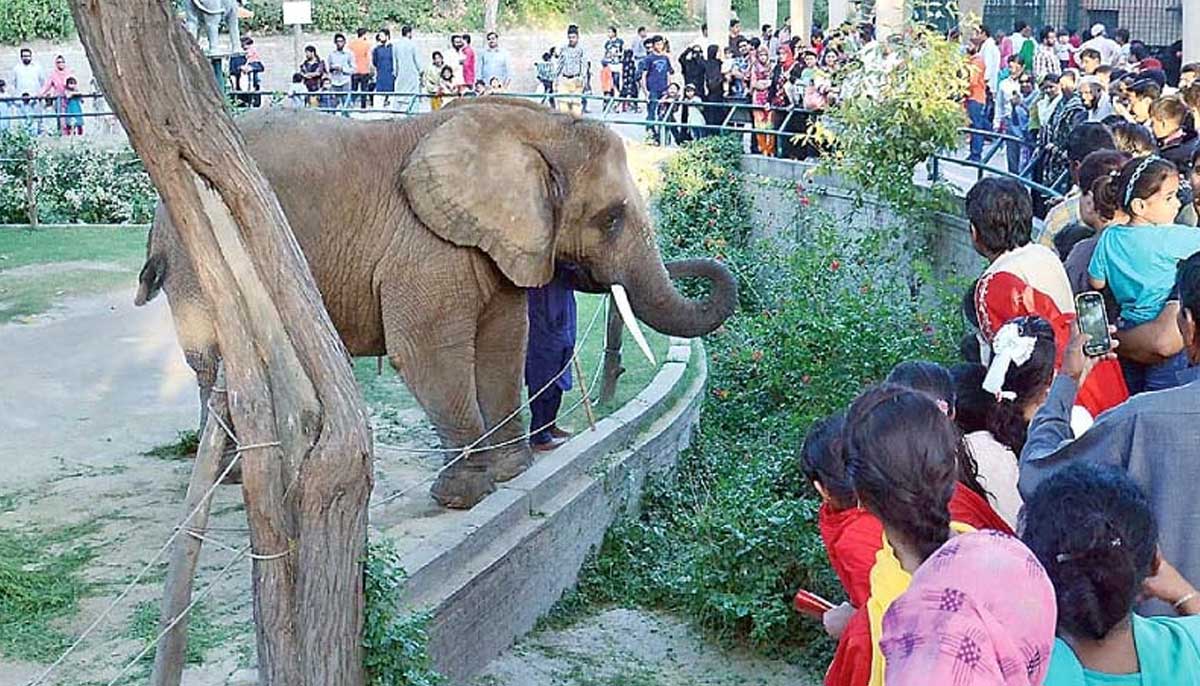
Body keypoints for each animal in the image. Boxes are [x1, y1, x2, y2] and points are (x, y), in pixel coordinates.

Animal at [136, 100, 734, 508]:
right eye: (610, 219)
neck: (533, 125)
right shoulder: (425, 246)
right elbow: (429, 353)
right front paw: (462, 497)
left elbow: (503, 345)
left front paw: (511, 473)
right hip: (200, 261)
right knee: (220, 360)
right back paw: (236, 479)